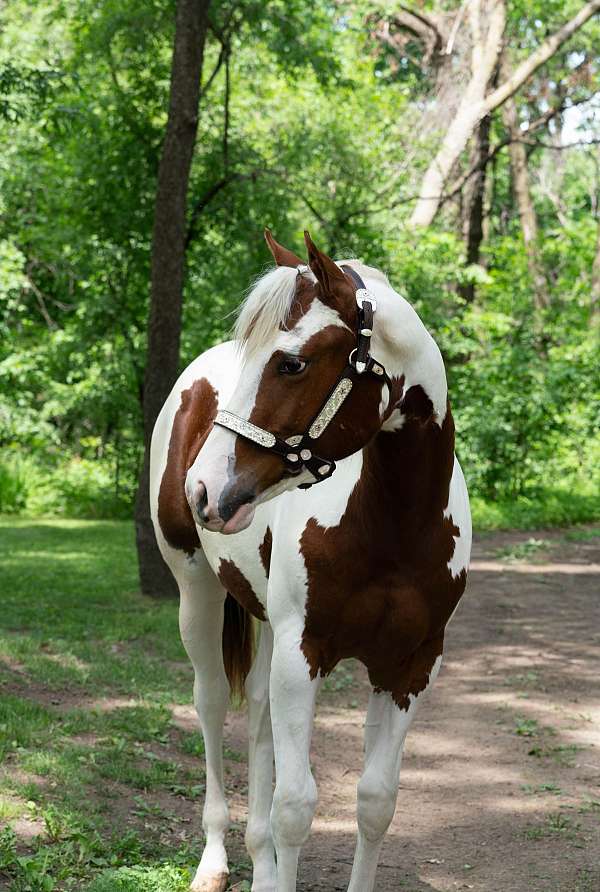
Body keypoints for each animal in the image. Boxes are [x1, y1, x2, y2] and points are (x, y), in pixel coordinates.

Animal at [150, 229, 471, 892]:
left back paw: (262, 864)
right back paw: (215, 862)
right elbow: (296, 806)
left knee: (259, 721)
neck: (393, 528)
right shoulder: (305, 655)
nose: (202, 489)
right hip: (198, 594)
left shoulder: (409, 667)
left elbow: (375, 802)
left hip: (270, 626)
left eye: (291, 363)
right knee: (213, 704)